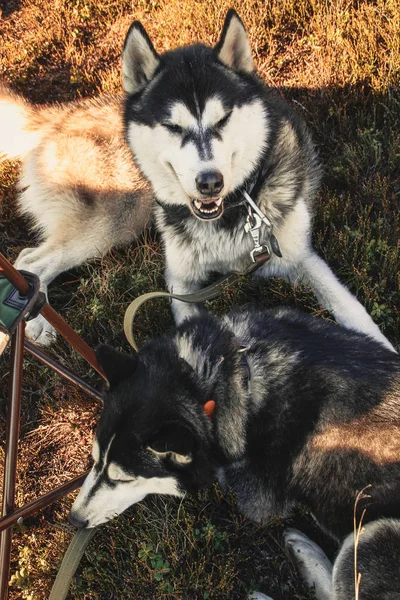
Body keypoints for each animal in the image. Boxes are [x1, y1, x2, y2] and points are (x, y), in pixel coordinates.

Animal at [70, 308, 400, 596]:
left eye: (124, 479)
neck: (211, 383)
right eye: (94, 460)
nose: (74, 520)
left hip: (373, 533)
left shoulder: (258, 504)